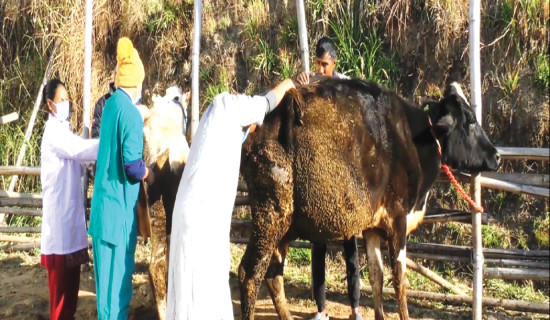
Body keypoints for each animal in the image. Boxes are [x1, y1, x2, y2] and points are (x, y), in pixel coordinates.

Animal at [239, 78, 502, 320]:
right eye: (471, 120)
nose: (497, 155)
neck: (414, 137)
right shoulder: (398, 219)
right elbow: (400, 279)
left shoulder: (372, 227)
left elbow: (377, 276)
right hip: (271, 215)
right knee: (250, 273)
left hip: (285, 226)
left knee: (273, 274)